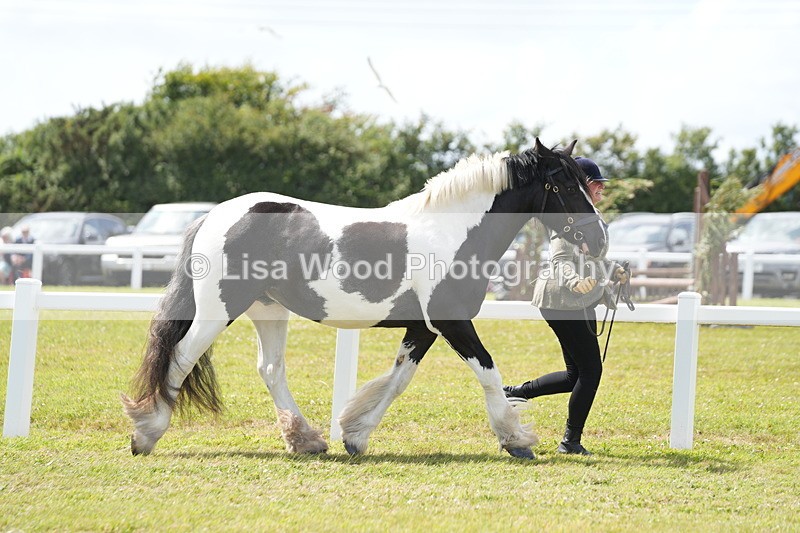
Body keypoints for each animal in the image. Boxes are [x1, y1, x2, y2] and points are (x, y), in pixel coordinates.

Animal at [122, 138, 607, 460]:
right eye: (565, 187)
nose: (600, 240)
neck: (452, 231)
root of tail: (213, 216)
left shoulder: (424, 328)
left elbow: (397, 381)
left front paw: (355, 436)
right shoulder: (451, 322)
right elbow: (488, 374)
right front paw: (516, 440)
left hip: (268, 310)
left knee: (270, 369)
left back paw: (307, 441)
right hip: (218, 310)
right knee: (181, 358)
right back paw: (146, 435)